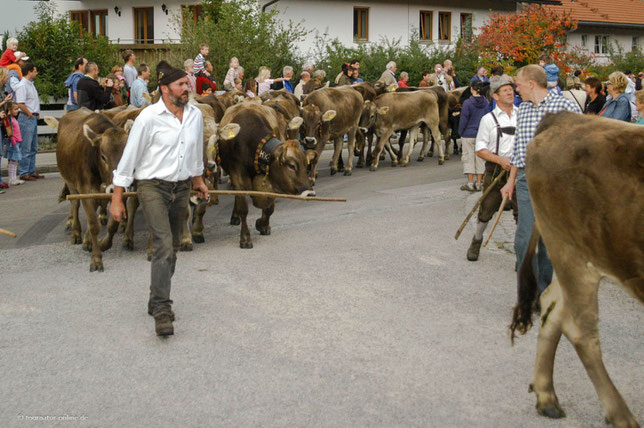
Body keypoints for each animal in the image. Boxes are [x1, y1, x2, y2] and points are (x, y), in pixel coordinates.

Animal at [55, 108, 132, 272]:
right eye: (103, 156)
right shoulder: (86, 190)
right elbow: (93, 225)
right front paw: (96, 259)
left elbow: (112, 224)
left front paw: (103, 244)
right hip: (70, 182)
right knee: (75, 205)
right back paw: (76, 233)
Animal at [218, 103, 314, 249]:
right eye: (291, 166)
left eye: (305, 164)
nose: (309, 193)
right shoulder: (237, 176)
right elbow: (243, 208)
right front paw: (245, 238)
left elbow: (269, 207)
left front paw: (262, 224)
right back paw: (235, 217)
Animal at [510, 113, 640, 428]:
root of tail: (564, 118)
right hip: (574, 256)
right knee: (580, 329)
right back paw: (621, 415)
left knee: (551, 305)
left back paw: (546, 397)